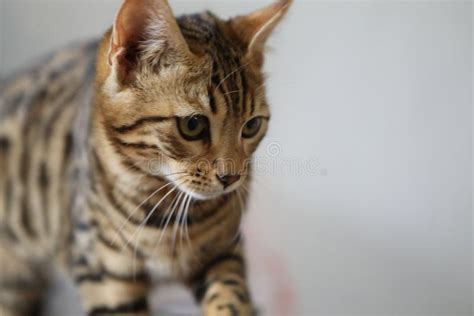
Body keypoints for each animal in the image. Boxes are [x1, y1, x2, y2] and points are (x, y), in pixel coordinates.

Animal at [0, 0, 290, 316]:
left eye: (251, 126)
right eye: (193, 125)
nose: (232, 177)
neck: (166, 213)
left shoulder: (223, 251)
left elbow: (231, 297)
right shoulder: (103, 275)